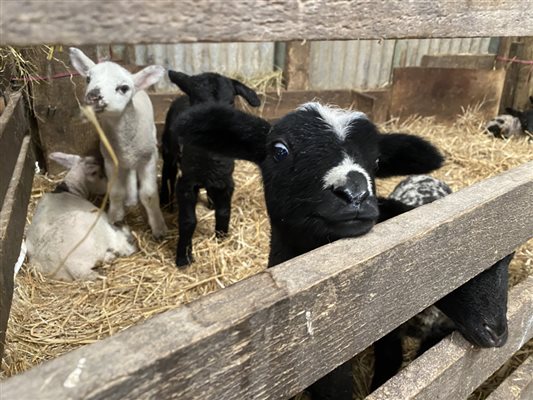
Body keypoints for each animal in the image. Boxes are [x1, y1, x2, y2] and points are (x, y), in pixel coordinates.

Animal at [26, 152, 136, 282]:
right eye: (101, 174)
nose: (110, 185)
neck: (70, 190)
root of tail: (73, 268)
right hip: (96, 227)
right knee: (118, 243)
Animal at [69, 48, 166, 239]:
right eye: (88, 79)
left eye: (123, 88)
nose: (93, 96)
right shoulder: (110, 160)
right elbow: (115, 191)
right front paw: (114, 217)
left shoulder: (149, 159)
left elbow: (149, 195)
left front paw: (159, 227)